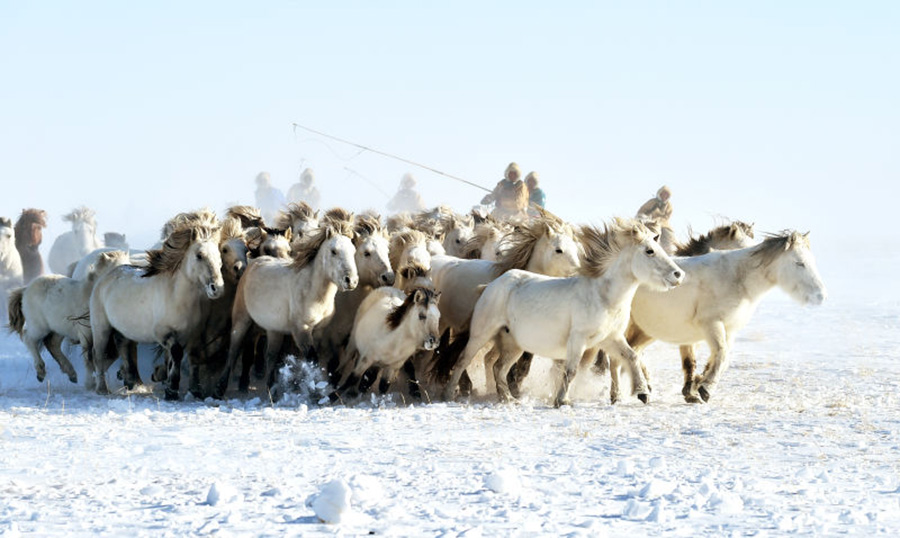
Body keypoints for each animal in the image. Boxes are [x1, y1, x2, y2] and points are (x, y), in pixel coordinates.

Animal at [6, 249, 130, 384]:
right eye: (117, 268)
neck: (91, 295)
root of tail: (25, 289)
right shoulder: (86, 334)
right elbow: (90, 358)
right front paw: (91, 382)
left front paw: (122, 374)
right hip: (39, 327)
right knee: (29, 339)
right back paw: (41, 372)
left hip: (59, 328)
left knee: (52, 344)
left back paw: (71, 373)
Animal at [90, 218, 225, 398]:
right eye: (199, 255)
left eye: (218, 255)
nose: (216, 288)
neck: (177, 297)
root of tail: (106, 276)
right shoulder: (164, 334)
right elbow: (176, 354)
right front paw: (172, 390)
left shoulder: (193, 334)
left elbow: (190, 358)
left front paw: (194, 391)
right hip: (101, 328)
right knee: (98, 354)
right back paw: (102, 389)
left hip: (124, 330)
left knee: (123, 346)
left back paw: (132, 383)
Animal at [214, 218, 358, 398]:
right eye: (334, 251)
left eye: (353, 251)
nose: (351, 281)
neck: (311, 291)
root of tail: (252, 264)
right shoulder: (301, 330)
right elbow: (312, 359)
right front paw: (315, 392)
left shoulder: (317, 331)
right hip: (242, 320)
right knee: (234, 351)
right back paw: (221, 388)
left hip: (273, 330)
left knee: (271, 356)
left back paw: (272, 389)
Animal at [442, 216, 684, 404]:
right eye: (649, 251)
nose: (678, 274)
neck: (603, 296)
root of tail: (491, 284)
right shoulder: (578, 339)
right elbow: (571, 369)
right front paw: (561, 400)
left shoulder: (610, 339)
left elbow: (631, 356)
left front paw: (642, 393)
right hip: (481, 335)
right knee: (463, 360)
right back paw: (449, 394)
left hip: (514, 344)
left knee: (498, 367)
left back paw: (508, 399)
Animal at [624, 228, 828, 400]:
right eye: (799, 263)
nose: (820, 296)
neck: (736, 277)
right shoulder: (711, 324)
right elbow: (720, 354)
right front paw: (704, 390)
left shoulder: (730, 329)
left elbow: (723, 357)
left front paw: (700, 385)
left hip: (647, 330)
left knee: (633, 351)